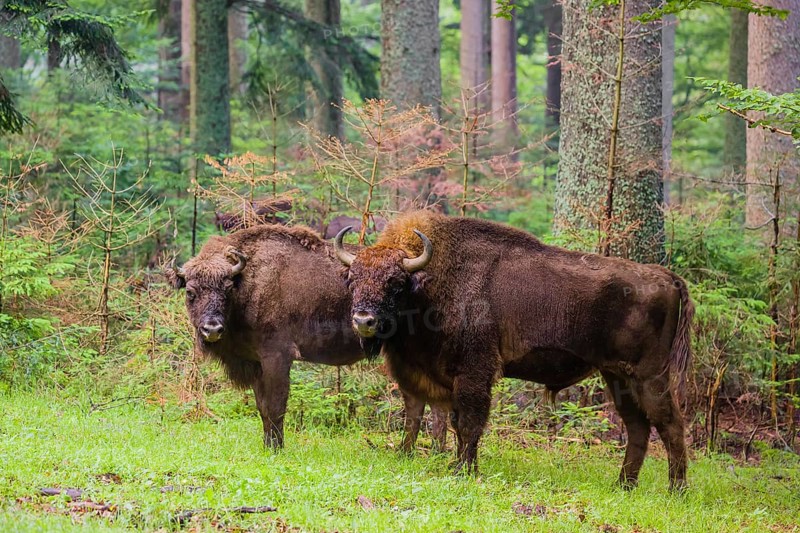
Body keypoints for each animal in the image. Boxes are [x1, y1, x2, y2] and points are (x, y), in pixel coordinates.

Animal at [167, 224, 446, 450]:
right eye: (190, 292)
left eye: (227, 289)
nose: (212, 329)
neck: (249, 281)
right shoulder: (257, 363)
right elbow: (262, 407)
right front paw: (268, 445)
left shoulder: (277, 357)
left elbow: (276, 405)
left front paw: (277, 449)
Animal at [335, 211, 693, 490]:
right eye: (352, 279)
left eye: (395, 283)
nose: (364, 320)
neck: (430, 284)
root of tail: (668, 277)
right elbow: (443, 420)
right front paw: (449, 463)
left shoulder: (475, 373)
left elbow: (469, 423)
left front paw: (464, 470)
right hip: (617, 377)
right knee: (638, 427)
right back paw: (623, 485)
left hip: (649, 376)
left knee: (670, 425)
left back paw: (676, 491)